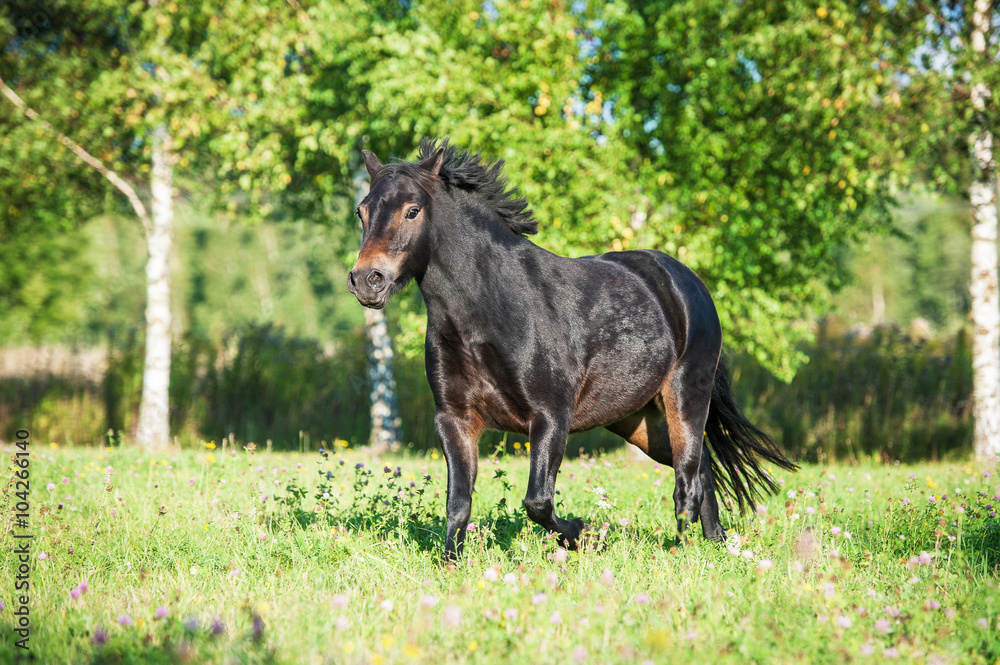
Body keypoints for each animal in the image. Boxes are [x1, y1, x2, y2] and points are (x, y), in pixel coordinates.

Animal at [348, 139, 792, 560]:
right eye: (361, 212)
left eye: (412, 210)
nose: (367, 279)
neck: (491, 311)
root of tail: (690, 284)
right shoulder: (455, 418)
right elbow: (458, 503)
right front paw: (451, 565)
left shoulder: (550, 416)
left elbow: (538, 502)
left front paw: (585, 535)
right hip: (640, 422)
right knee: (704, 469)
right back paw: (717, 543)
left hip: (685, 398)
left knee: (687, 480)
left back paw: (683, 551)